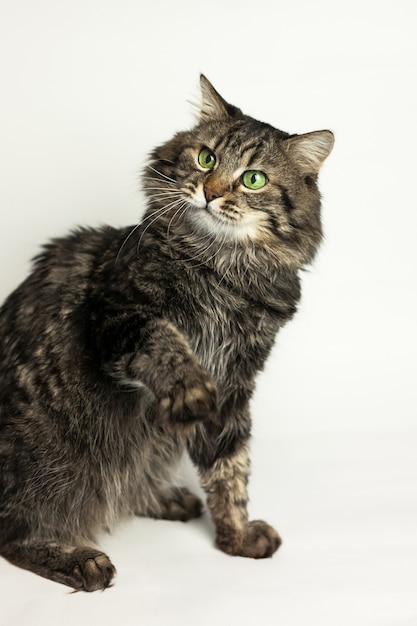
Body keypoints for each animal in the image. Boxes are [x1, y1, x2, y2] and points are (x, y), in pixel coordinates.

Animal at [0, 75, 334, 588]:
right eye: (207, 158)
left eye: (253, 179)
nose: (210, 192)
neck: (223, 273)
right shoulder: (117, 317)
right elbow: (167, 340)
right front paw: (190, 389)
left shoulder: (236, 386)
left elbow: (230, 469)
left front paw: (236, 538)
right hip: (47, 460)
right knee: (16, 533)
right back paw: (81, 560)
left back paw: (165, 498)